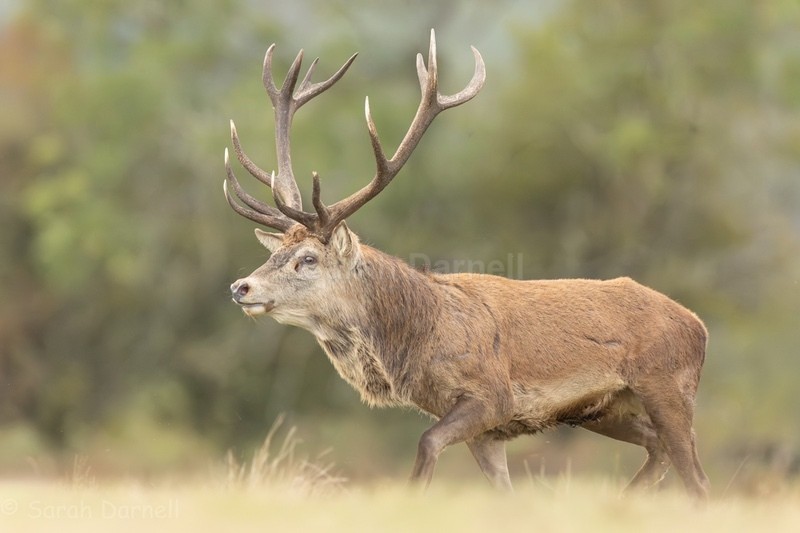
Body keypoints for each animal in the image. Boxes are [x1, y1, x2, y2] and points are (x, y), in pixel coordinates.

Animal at [223, 30, 710, 500]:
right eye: (272, 254)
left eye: (307, 259)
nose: (241, 287)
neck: (418, 339)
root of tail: (699, 327)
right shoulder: (490, 432)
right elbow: (503, 494)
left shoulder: (492, 396)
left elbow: (426, 444)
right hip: (607, 409)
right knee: (660, 451)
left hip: (668, 387)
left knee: (697, 478)